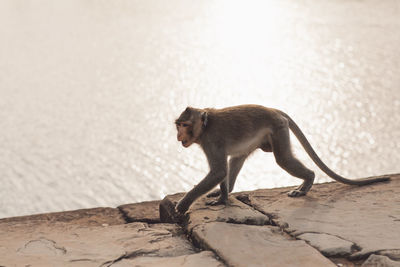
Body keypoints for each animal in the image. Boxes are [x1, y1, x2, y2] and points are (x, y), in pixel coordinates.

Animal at [174, 105, 390, 215]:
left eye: (185, 125)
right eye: (178, 125)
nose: (178, 136)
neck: (205, 126)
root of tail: (274, 110)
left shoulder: (212, 141)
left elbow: (218, 171)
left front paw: (183, 206)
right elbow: (223, 170)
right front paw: (222, 198)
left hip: (278, 129)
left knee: (283, 159)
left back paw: (307, 183)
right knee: (238, 158)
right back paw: (227, 190)